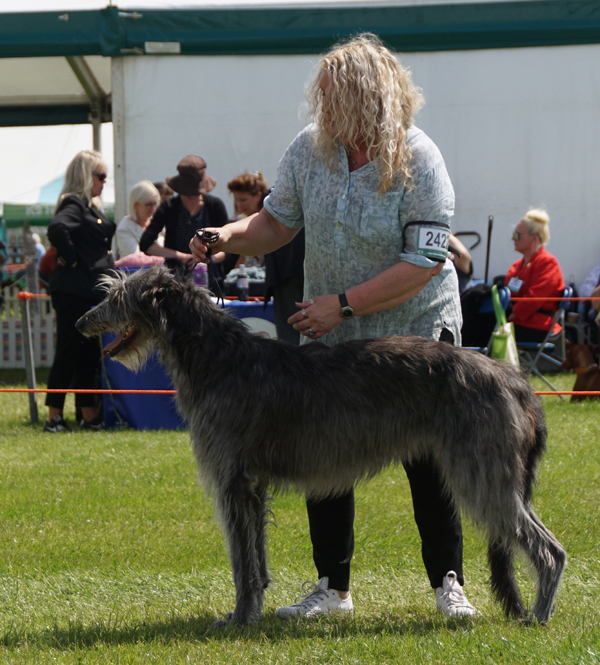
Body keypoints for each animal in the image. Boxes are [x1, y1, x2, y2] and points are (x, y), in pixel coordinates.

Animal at [76, 268, 568, 624]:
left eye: (117, 296)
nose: (81, 322)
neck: (215, 357)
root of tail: (516, 380)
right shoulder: (253, 486)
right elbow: (255, 559)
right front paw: (254, 609)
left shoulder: (233, 481)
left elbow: (240, 563)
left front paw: (238, 619)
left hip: (483, 471)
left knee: (550, 549)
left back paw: (539, 617)